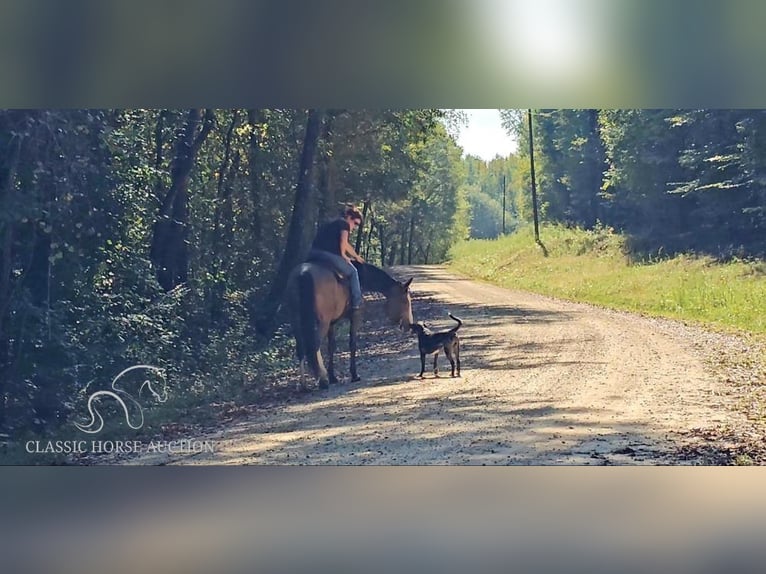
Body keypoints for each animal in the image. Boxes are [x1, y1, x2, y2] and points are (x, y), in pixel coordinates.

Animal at [286, 260, 414, 392]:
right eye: (405, 301)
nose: (408, 325)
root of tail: (303, 274)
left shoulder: (332, 323)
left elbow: (331, 347)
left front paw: (333, 377)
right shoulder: (355, 316)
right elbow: (352, 344)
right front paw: (354, 375)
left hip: (296, 322)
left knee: (301, 349)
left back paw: (304, 385)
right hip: (321, 323)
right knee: (314, 346)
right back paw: (323, 380)